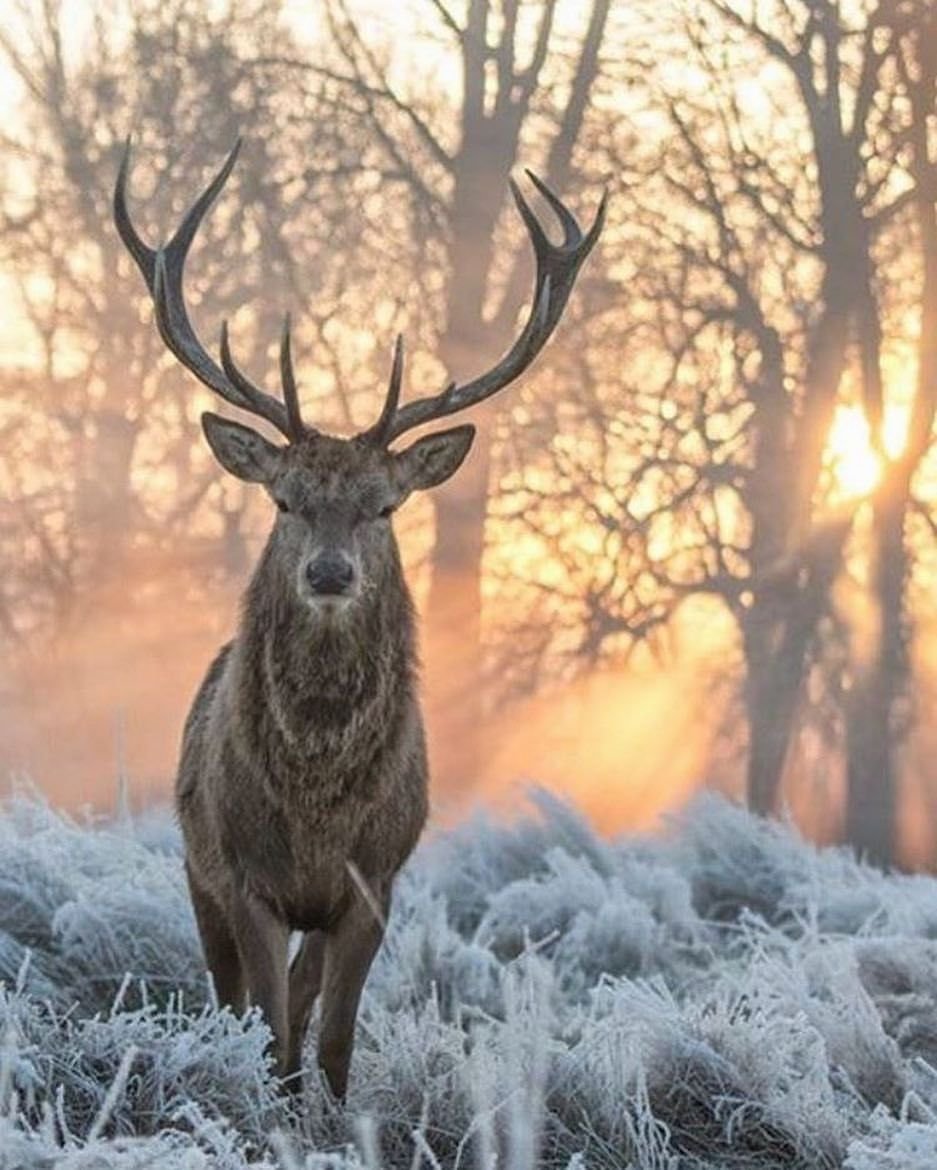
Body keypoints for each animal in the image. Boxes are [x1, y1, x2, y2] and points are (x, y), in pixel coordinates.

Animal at [113, 141, 603, 1099]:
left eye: (384, 505)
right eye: (284, 498)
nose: (331, 571)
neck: (316, 812)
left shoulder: (376, 880)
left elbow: (333, 1037)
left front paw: (335, 1113)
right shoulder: (243, 876)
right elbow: (269, 1030)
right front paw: (272, 1106)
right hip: (194, 865)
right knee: (233, 996)